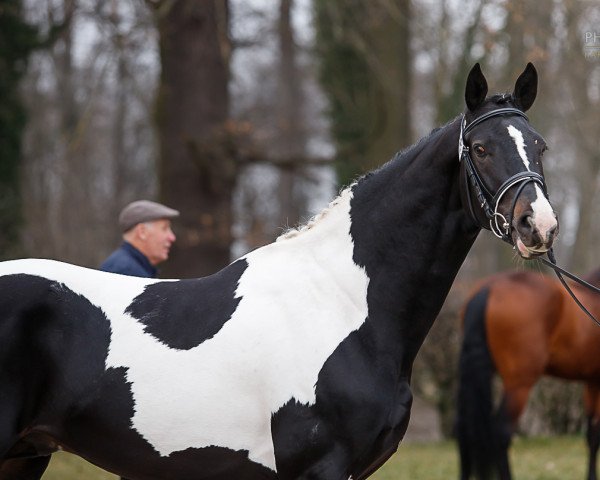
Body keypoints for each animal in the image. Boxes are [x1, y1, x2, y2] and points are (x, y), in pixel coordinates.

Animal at [2, 63, 560, 480]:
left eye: (540, 145)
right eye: (481, 148)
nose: (538, 224)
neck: (343, 301)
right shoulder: (320, 468)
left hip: (25, 455)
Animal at [454, 268, 600, 478]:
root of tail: (489, 288)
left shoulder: (592, 381)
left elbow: (591, 435)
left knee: (463, 428)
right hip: (519, 385)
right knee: (502, 432)